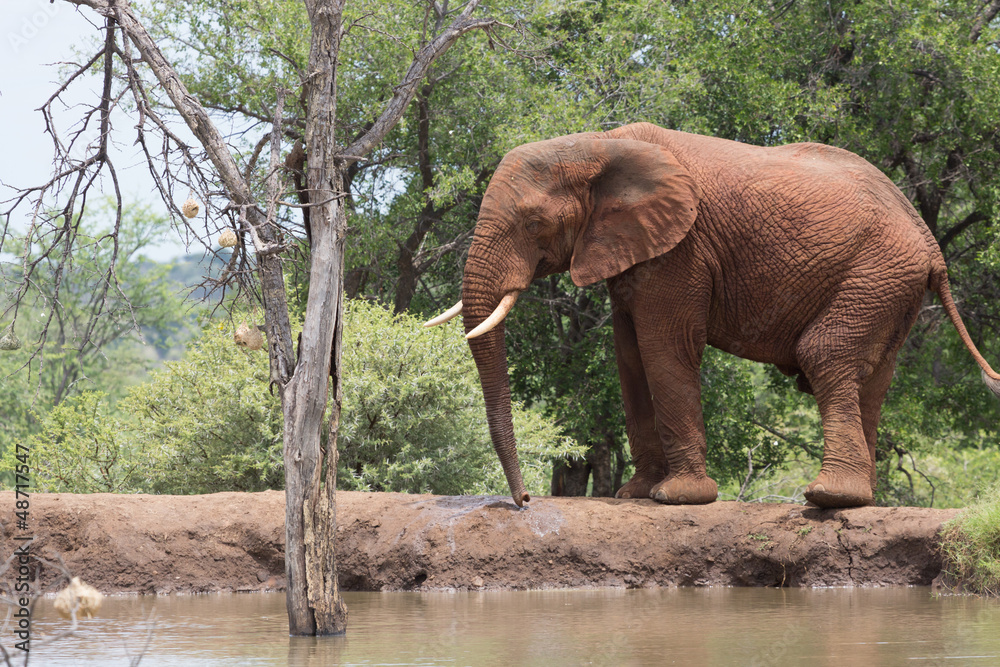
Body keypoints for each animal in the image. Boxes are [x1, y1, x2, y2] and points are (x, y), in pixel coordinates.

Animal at [423, 122, 1000, 509]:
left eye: (533, 223)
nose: (523, 502)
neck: (600, 143)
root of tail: (930, 241)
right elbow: (629, 355)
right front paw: (637, 494)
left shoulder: (681, 250)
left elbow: (664, 347)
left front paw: (678, 498)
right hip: (890, 285)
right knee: (873, 379)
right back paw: (863, 499)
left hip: (877, 272)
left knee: (826, 353)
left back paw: (830, 498)